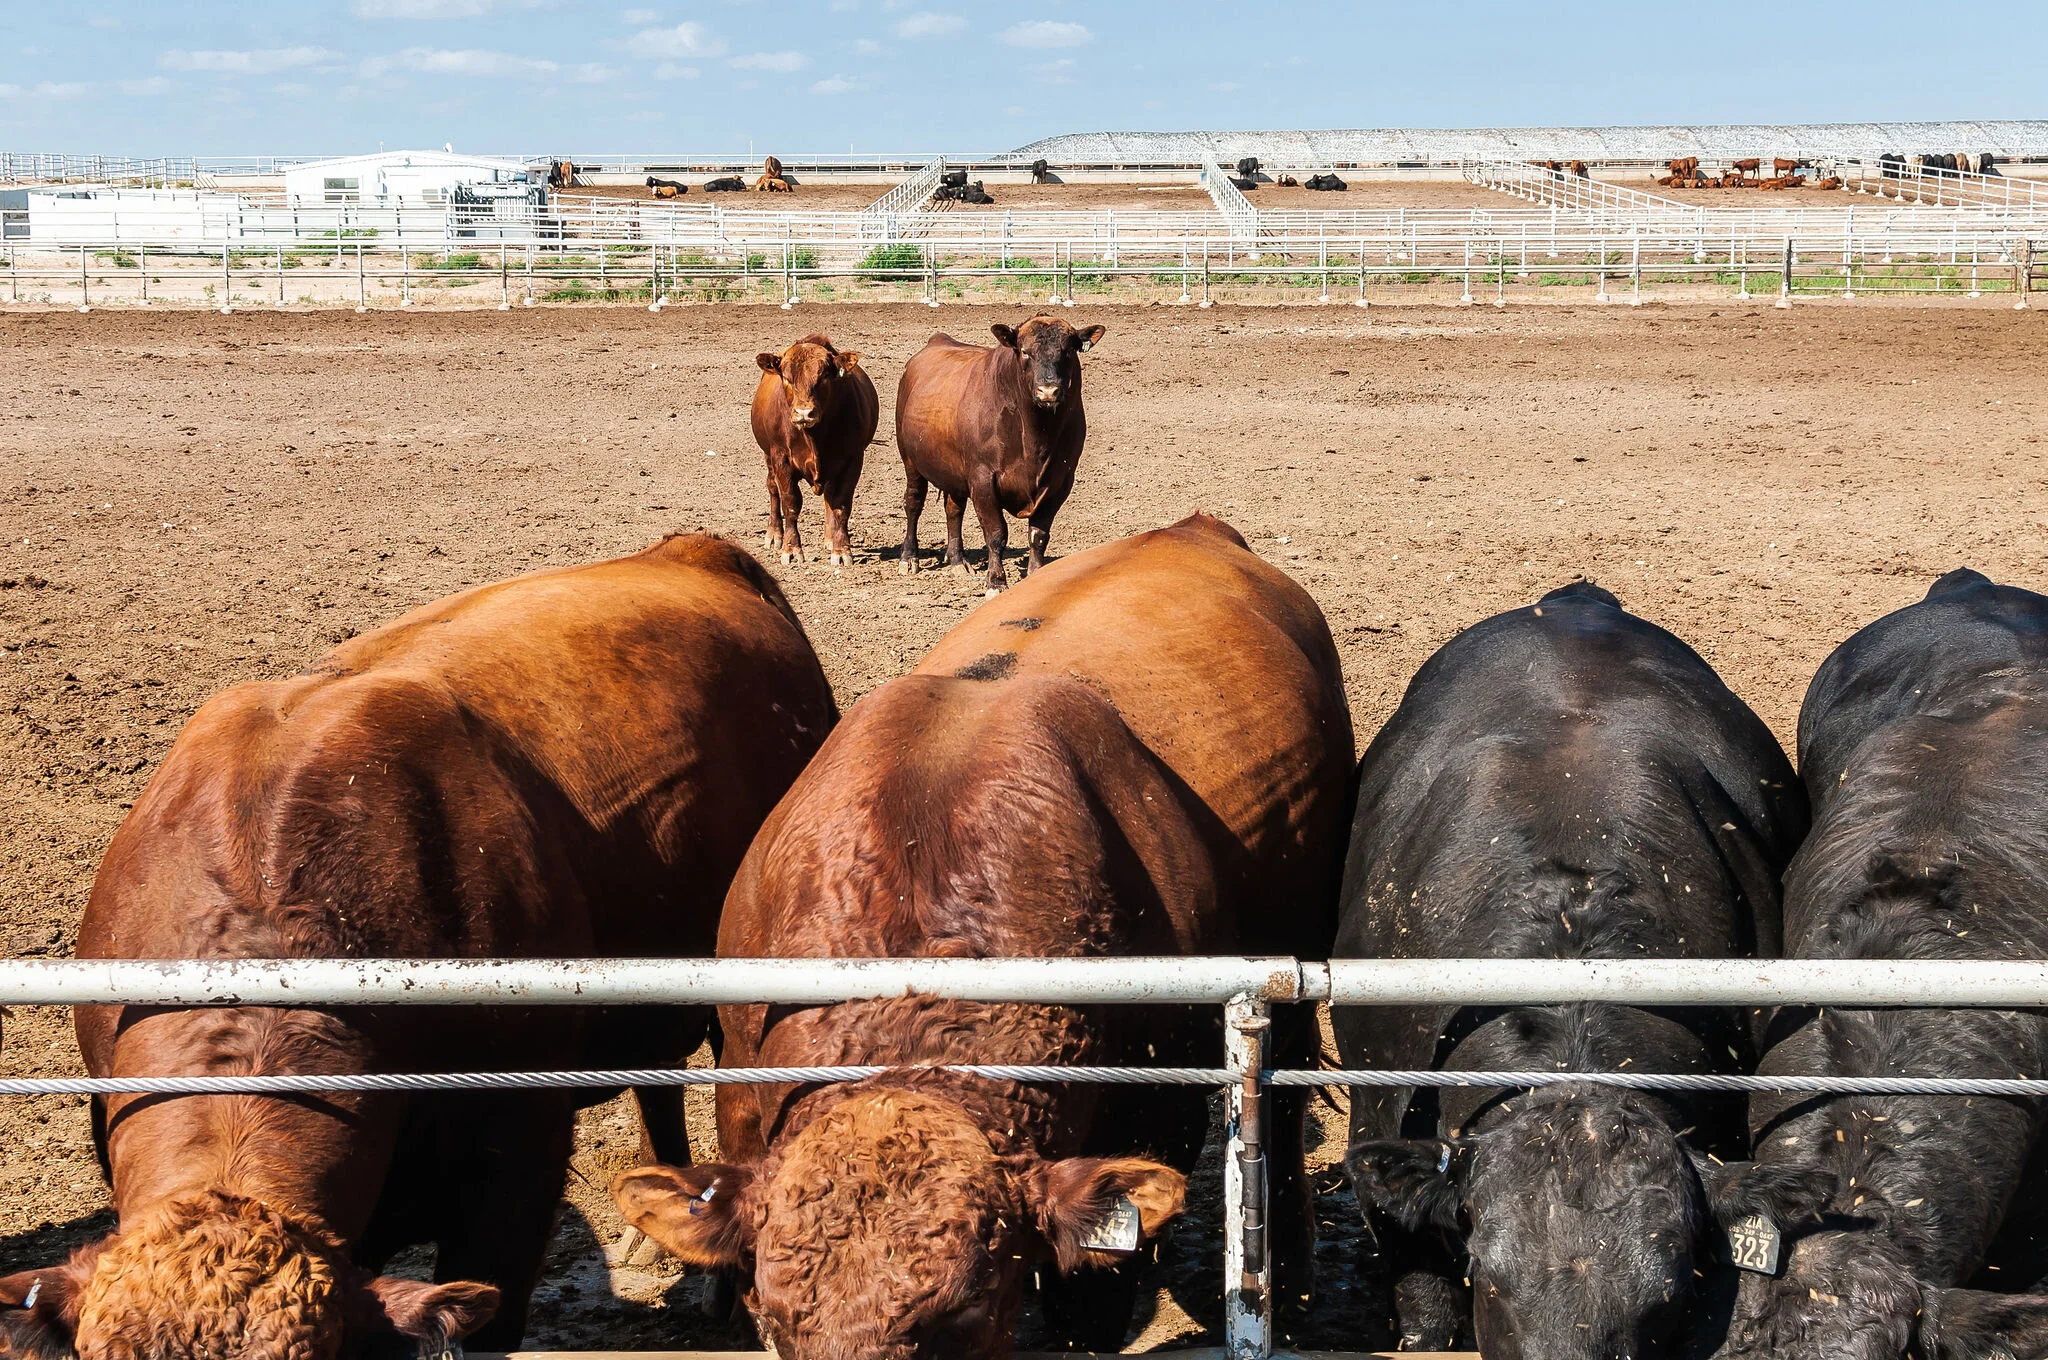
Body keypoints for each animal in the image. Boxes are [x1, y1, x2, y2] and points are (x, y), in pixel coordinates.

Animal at [752, 333, 879, 567]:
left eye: (823, 377)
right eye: (787, 378)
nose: (804, 413)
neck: (814, 438)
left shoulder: (852, 460)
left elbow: (841, 504)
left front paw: (841, 549)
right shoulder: (781, 458)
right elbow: (791, 503)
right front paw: (791, 549)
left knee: (829, 496)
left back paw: (830, 538)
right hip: (768, 456)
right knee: (773, 488)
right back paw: (774, 534)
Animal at [893, 314, 1105, 594]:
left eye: (1068, 350)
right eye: (1025, 351)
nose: (1048, 391)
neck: (1036, 436)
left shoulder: (1060, 481)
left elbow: (1038, 535)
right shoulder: (983, 478)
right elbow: (996, 533)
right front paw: (995, 581)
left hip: (953, 471)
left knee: (954, 510)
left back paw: (957, 560)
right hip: (910, 461)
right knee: (913, 504)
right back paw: (909, 558)